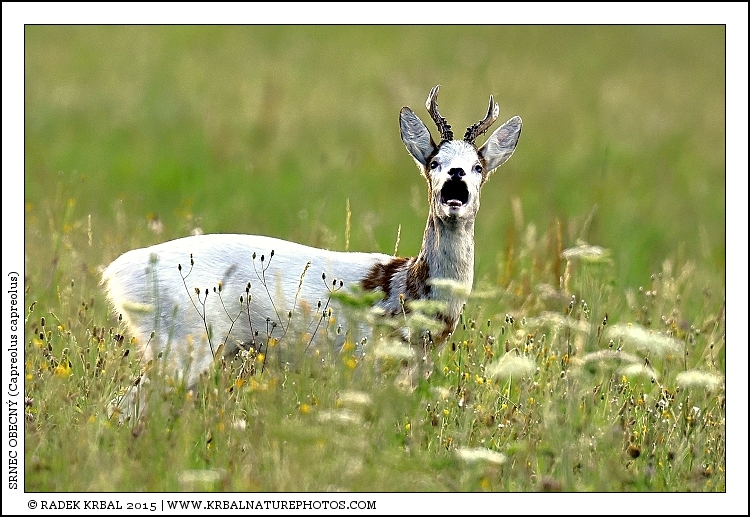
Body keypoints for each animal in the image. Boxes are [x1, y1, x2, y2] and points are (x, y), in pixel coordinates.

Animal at [102, 85, 522, 419]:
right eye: (434, 161)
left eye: (478, 166)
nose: (455, 178)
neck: (409, 291)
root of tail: (115, 274)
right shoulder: (364, 366)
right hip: (180, 345)